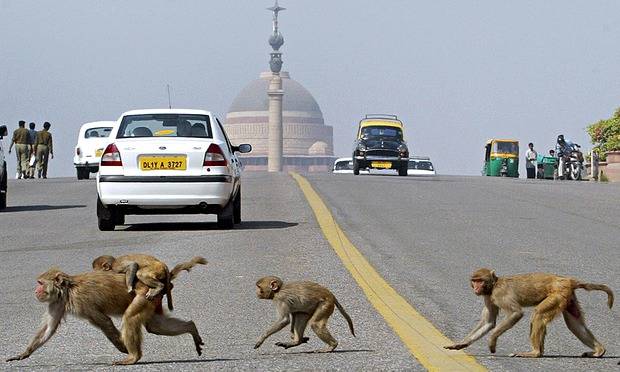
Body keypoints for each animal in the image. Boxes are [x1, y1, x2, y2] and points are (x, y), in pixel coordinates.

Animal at [6, 256, 207, 364]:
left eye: (40, 283)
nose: (36, 291)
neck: (67, 290)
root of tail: (164, 280)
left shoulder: (82, 302)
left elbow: (104, 322)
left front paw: (123, 347)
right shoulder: (56, 302)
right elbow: (48, 328)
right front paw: (24, 353)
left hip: (144, 295)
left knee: (131, 318)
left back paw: (134, 356)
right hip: (152, 300)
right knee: (155, 326)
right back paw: (191, 327)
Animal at [444, 268, 612, 358]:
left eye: (480, 280)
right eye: (474, 280)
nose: (476, 287)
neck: (493, 285)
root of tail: (568, 280)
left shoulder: (499, 294)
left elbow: (516, 313)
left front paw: (492, 341)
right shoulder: (488, 298)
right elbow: (489, 322)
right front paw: (461, 343)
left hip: (558, 294)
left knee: (538, 315)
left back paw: (535, 352)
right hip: (567, 296)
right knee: (574, 323)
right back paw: (599, 351)